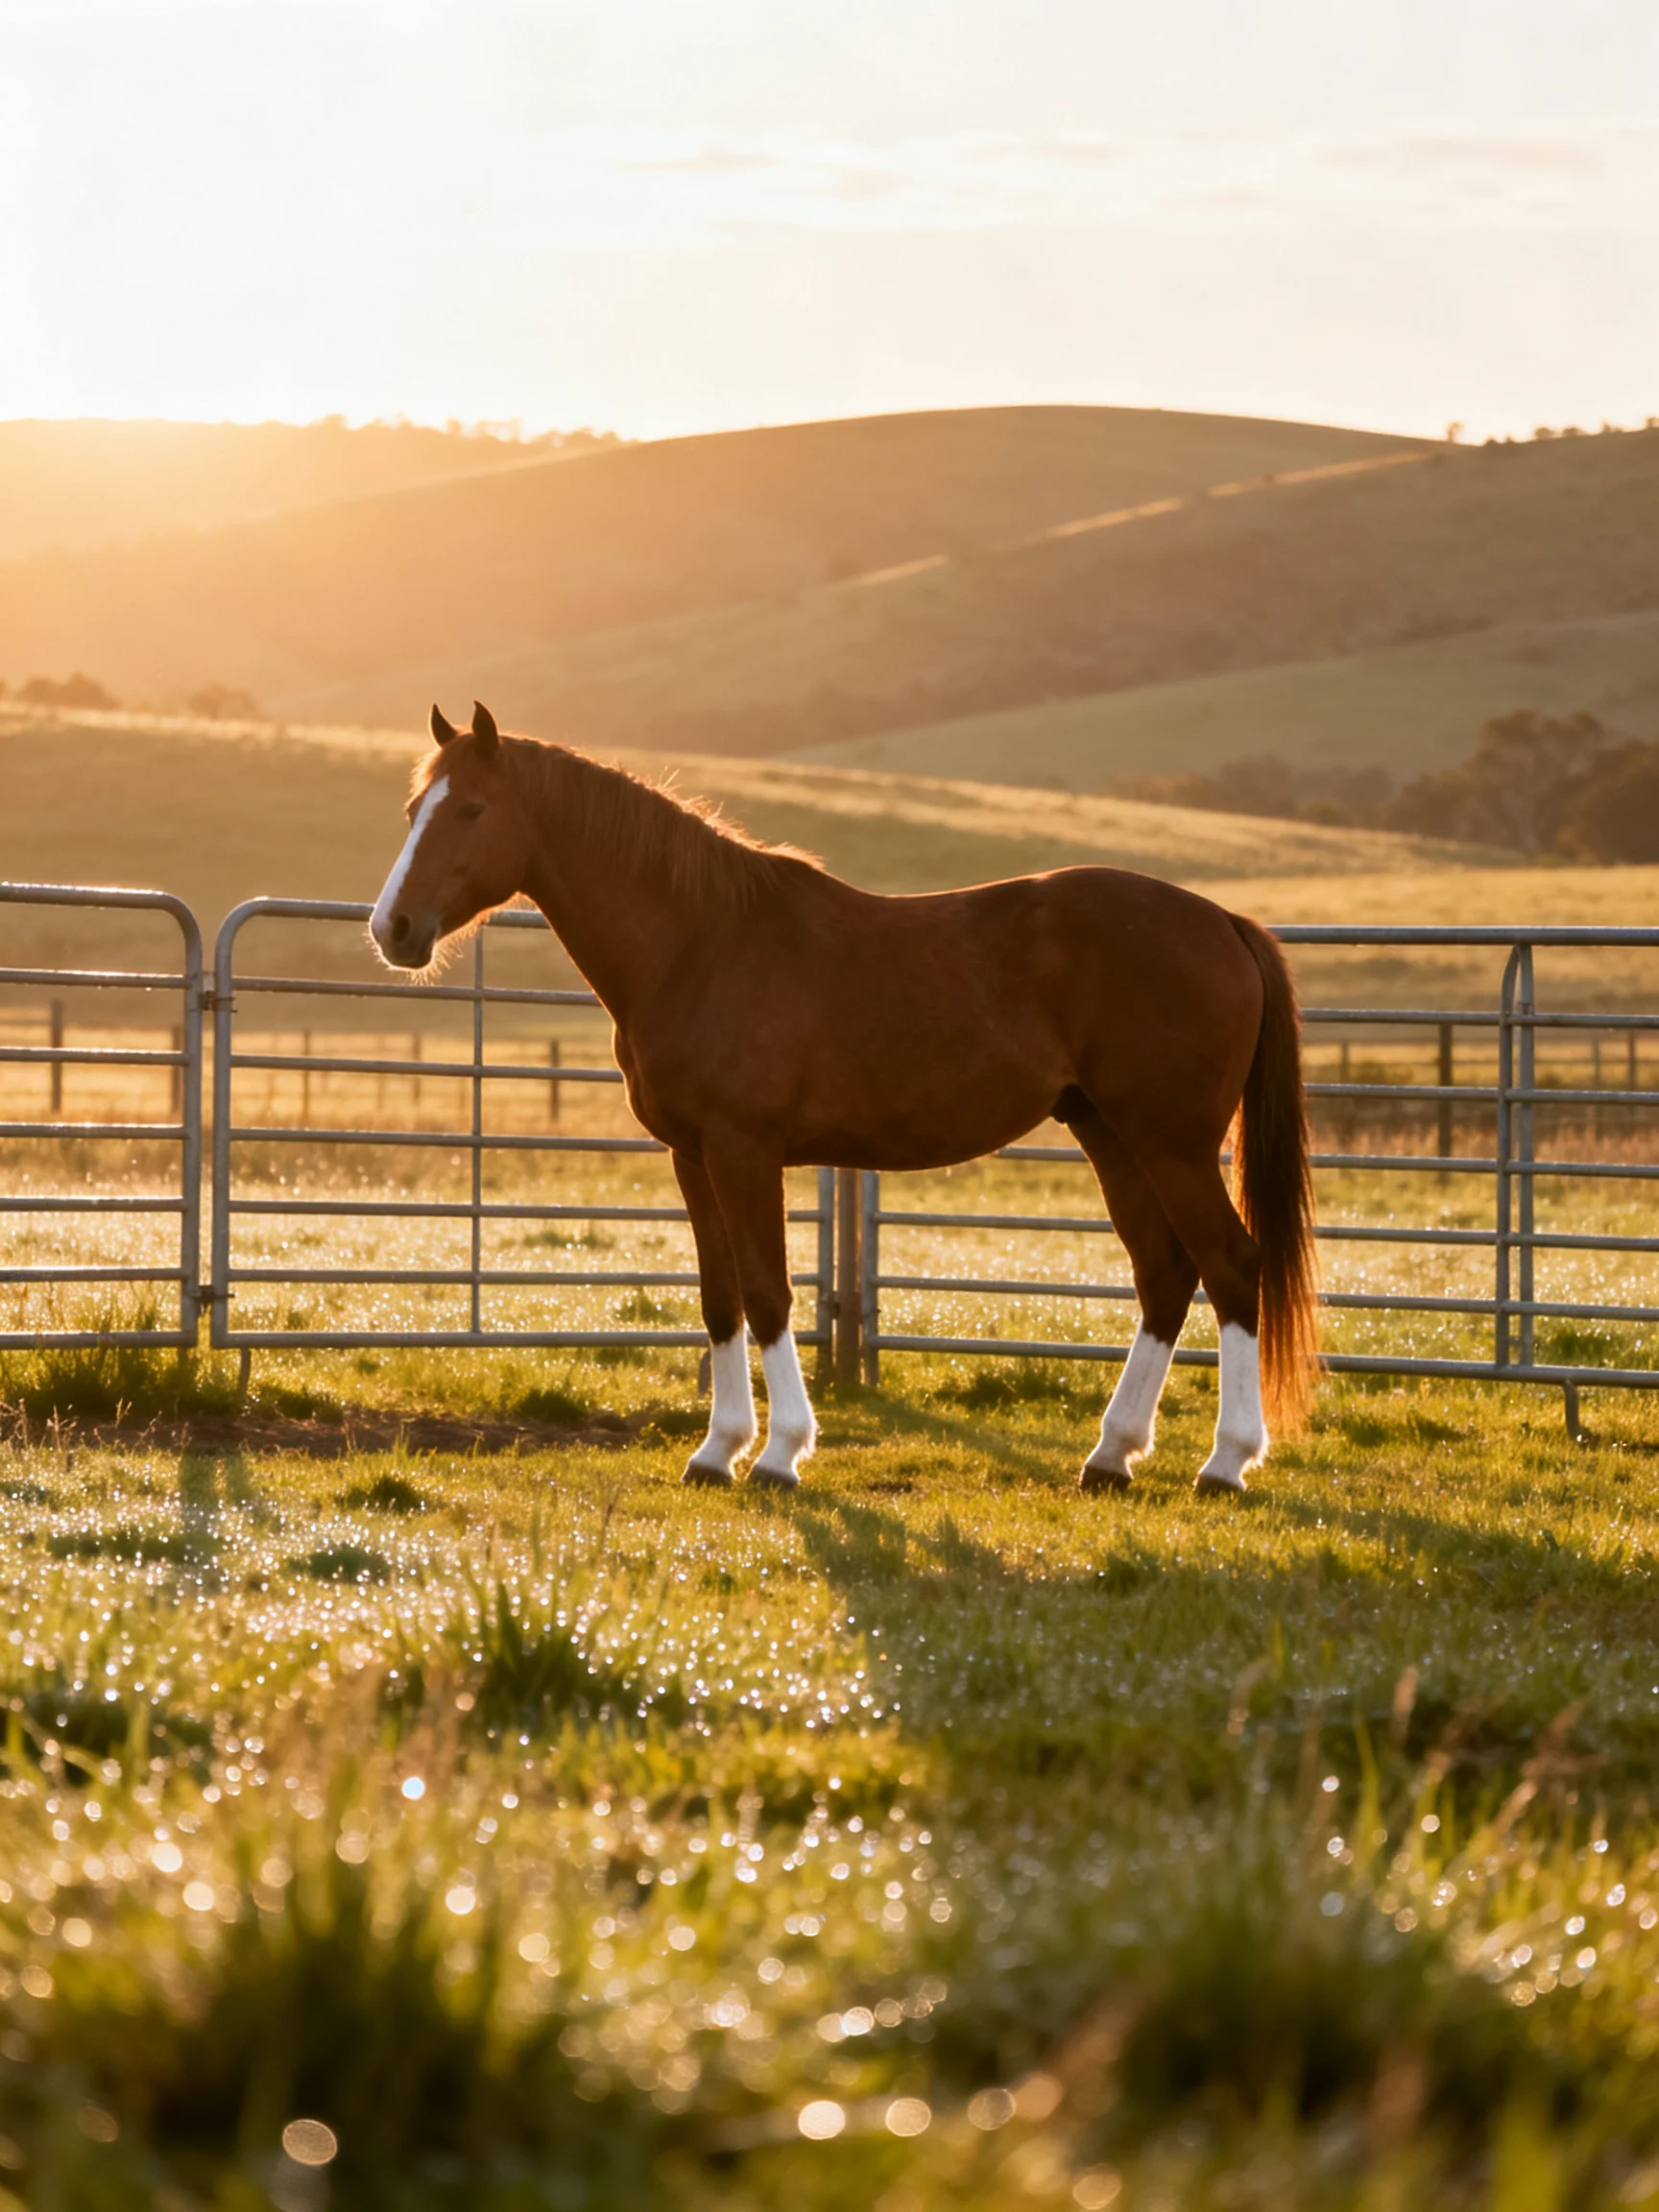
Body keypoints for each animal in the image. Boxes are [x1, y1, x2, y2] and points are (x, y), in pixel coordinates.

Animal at [370, 701, 1317, 1495]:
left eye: (470, 811)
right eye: (412, 808)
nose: (393, 929)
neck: (698, 941)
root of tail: (1223, 922)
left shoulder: (745, 1150)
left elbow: (767, 1294)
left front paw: (780, 1454)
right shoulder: (691, 1156)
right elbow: (719, 1299)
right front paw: (716, 1452)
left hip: (1171, 1143)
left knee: (1231, 1265)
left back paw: (1226, 1464)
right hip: (1111, 1135)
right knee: (1165, 1275)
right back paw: (1111, 1456)